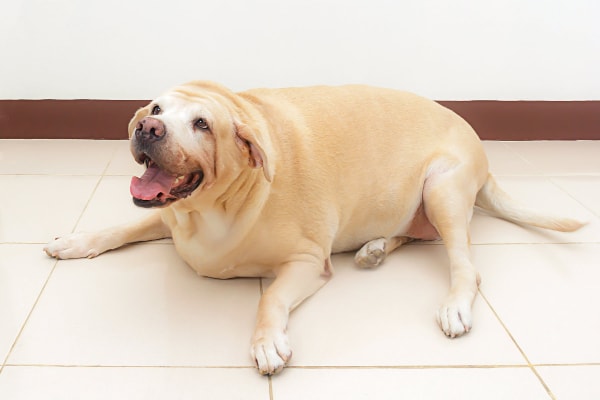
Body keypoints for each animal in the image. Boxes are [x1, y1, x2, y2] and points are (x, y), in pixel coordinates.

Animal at [45, 81, 584, 376]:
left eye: (202, 124)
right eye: (157, 110)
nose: (147, 128)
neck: (213, 207)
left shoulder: (306, 263)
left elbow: (268, 299)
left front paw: (266, 341)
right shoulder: (168, 215)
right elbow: (120, 228)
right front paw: (76, 240)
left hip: (443, 189)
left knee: (464, 264)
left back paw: (453, 303)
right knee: (418, 233)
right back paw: (375, 247)